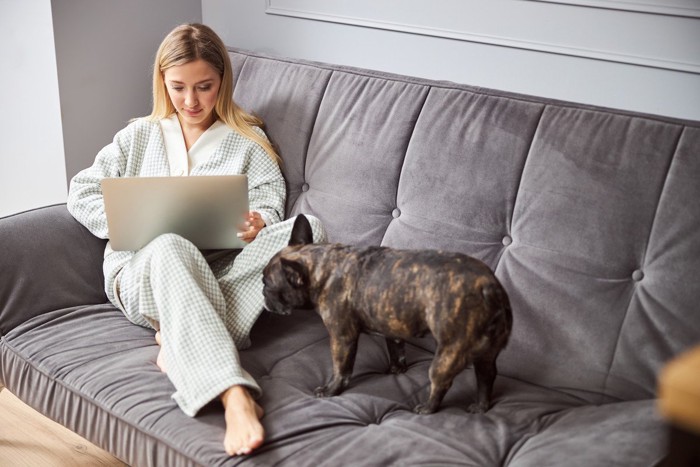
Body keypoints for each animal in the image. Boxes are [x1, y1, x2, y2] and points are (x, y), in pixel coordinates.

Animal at [260, 214, 512, 414]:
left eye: (268, 285)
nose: (263, 295)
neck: (323, 266)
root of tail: (490, 287)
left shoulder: (342, 337)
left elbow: (341, 368)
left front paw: (331, 390)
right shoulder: (393, 325)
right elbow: (396, 349)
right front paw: (397, 369)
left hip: (449, 352)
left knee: (442, 381)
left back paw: (426, 408)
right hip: (486, 353)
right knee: (486, 376)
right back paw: (480, 407)